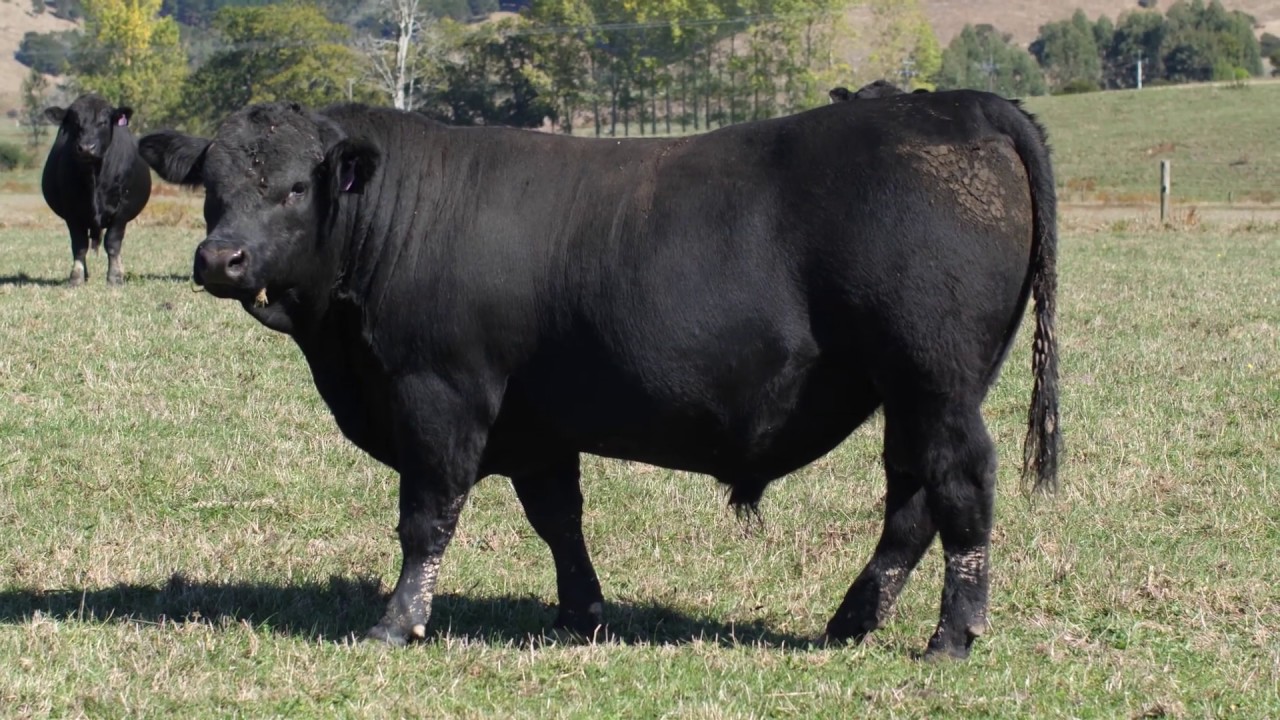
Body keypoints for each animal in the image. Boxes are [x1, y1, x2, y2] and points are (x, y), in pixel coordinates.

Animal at [41, 93, 152, 285]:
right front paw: (76, 277)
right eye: (75, 122)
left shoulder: (122, 211)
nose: (86, 148)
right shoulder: (72, 212)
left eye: (103, 122)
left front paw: (115, 277)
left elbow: (113, 243)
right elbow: (79, 245)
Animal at [138, 90, 1060, 659]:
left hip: (936, 381)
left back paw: (952, 636)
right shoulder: (534, 421)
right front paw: (581, 615)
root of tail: (957, 102)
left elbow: (426, 521)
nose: (220, 258)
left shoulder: (439, 398)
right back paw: (849, 621)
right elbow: (558, 519)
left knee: (960, 490)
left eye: (298, 187)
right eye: (212, 184)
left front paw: (398, 623)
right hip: (907, 394)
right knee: (910, 501)